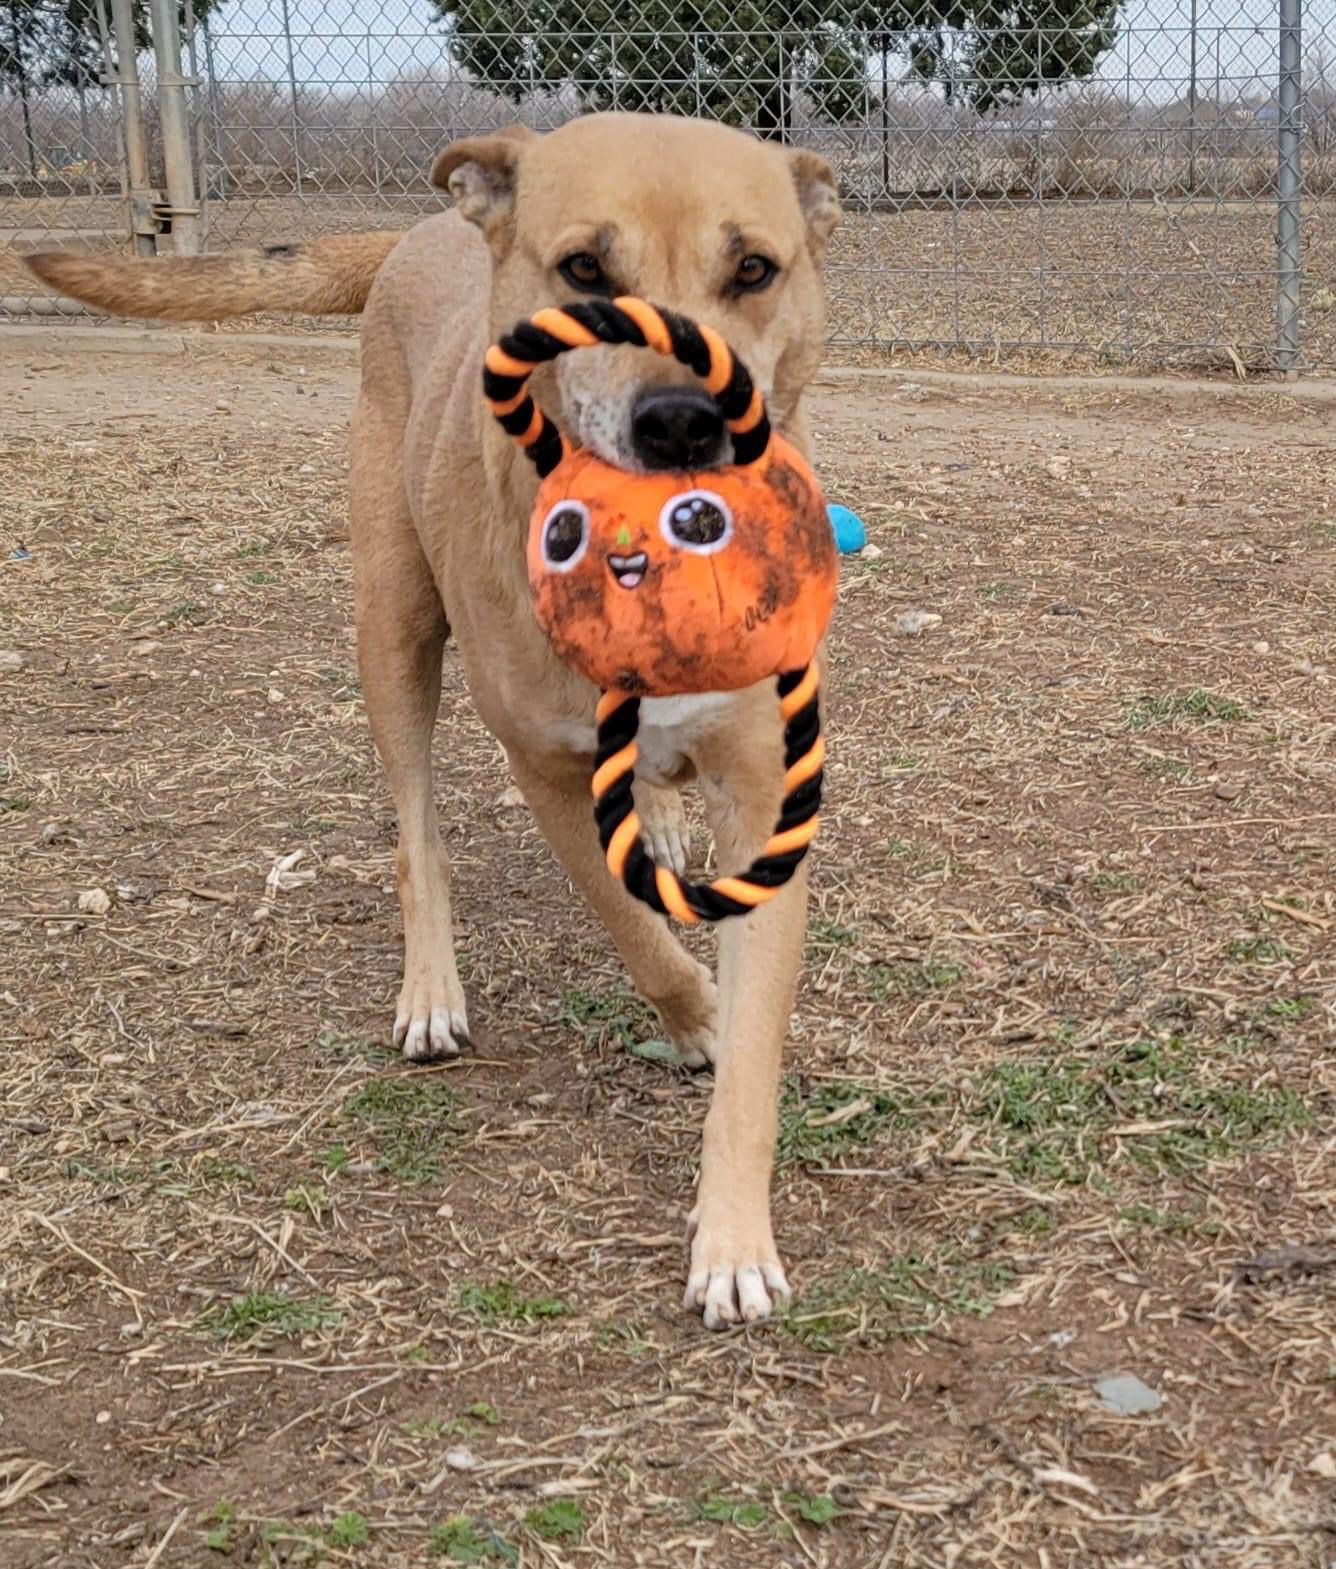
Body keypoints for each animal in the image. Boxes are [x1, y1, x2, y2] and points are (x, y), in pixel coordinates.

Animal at [26, 116, 841, 1330]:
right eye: (584, 270)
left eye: (753, 269)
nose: (685, 420)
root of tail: (424, 228)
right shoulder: (545, 770)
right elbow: (627, 922)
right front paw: (694, 1008)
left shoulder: (762, 794)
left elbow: (749, 1058)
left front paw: (733, 1237)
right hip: (392, 622)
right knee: (417, 832)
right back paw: (432, 991)